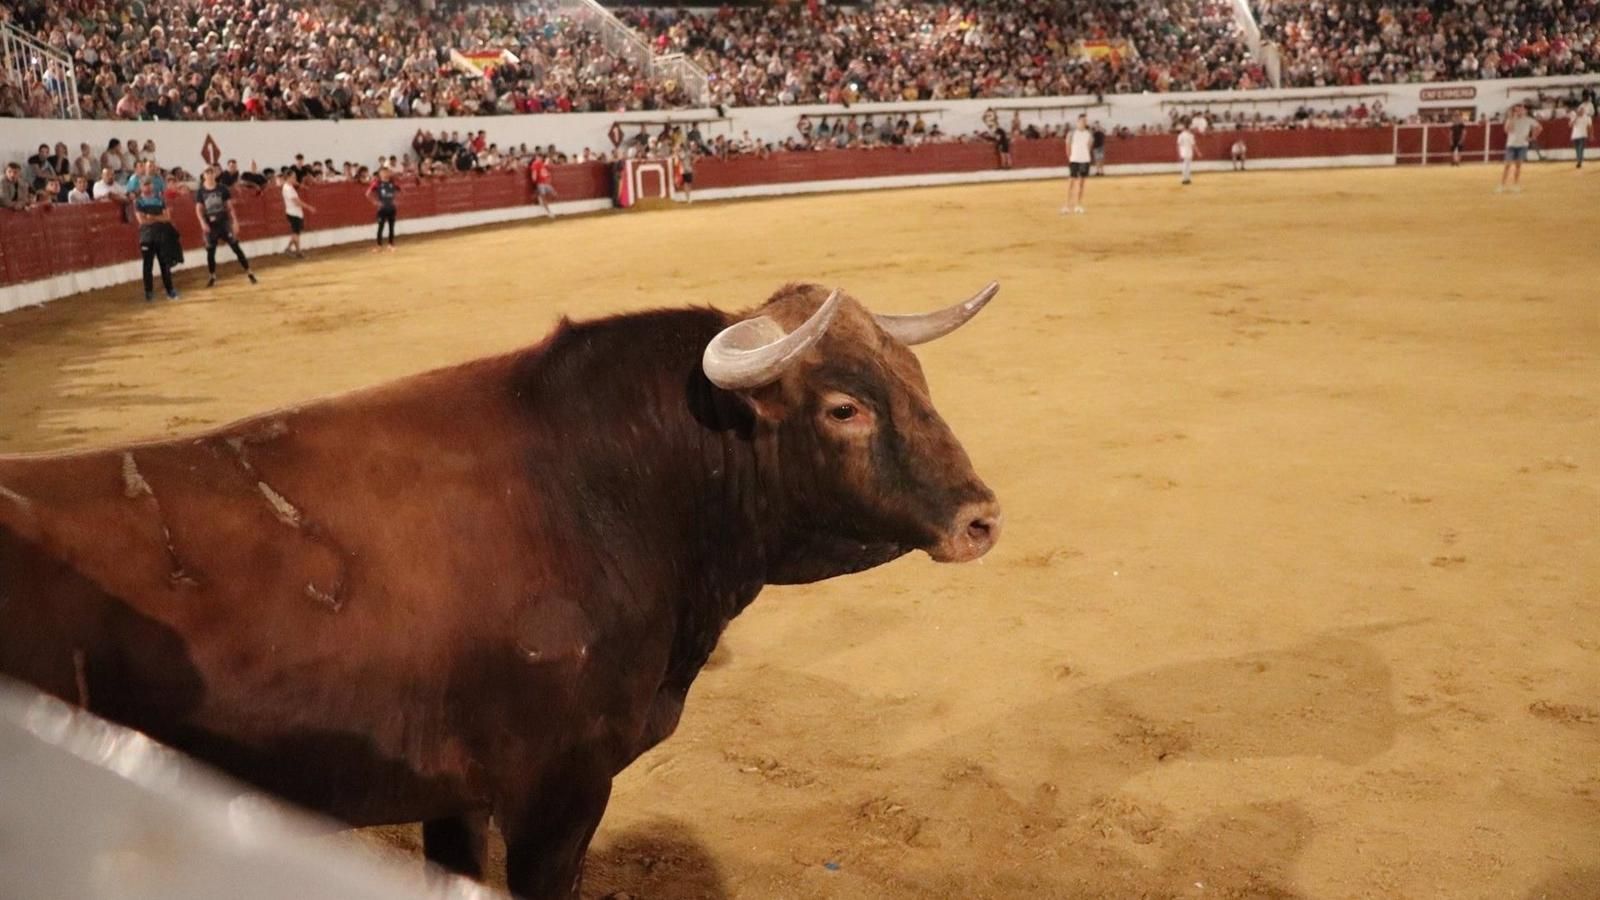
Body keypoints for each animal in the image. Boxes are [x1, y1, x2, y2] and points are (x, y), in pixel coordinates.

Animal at [0, 278, 998, 890]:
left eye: (915, 374)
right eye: (843, 407)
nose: (982, 518)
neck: (607, 486)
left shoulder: (453, 793)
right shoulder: (560, 793)